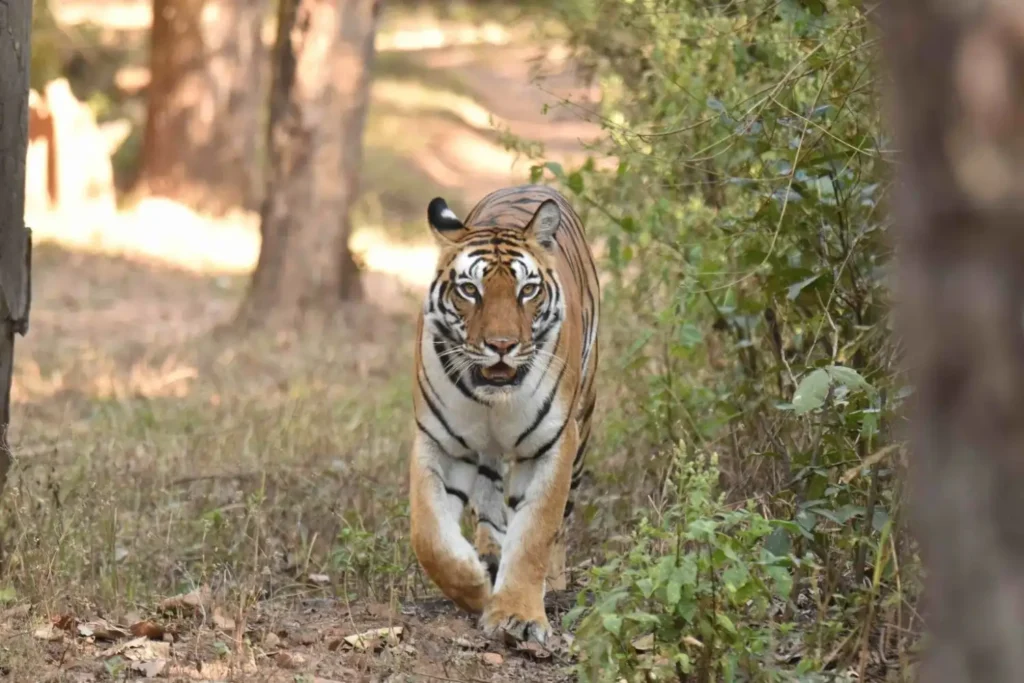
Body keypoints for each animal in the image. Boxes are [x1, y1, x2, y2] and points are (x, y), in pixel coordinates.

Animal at [409, 184, 600, 645]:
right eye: (469, 290)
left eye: (527, 291)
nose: (501, 345)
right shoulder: (439, 441)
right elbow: (429, 535)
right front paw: (476, 586)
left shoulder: (553, 444)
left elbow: (536, 532)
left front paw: (518, 616)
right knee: (491, 502)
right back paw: (489, 554)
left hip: (583, 423)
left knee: (558, 519)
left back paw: (553, 579)